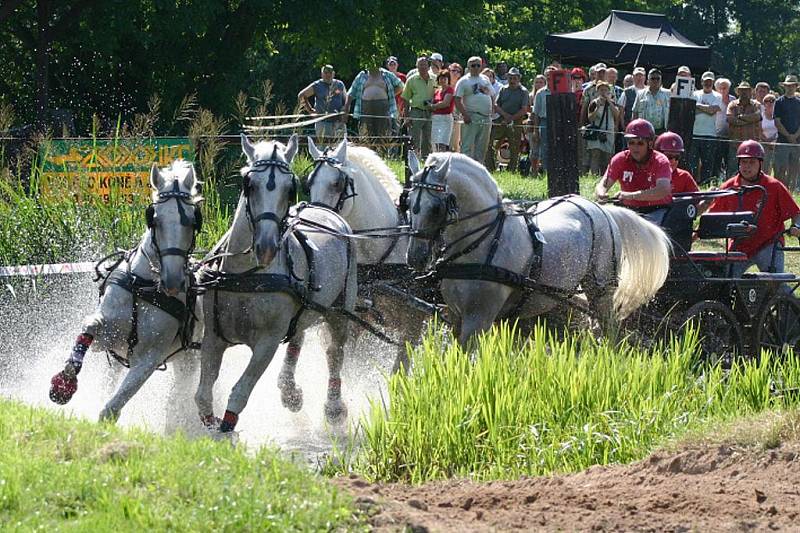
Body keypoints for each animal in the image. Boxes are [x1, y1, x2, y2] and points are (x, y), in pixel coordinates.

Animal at [49, 160, 203, 422]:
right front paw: (65, 382)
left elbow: (113, 407)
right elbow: (90, 325)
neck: (146, 288)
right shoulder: (106, 336)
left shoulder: (150, 358)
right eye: (154, 219)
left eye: (193, 221)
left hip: (187, 360)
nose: (173, 281)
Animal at [194, 134, 356, 432]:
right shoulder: (213, 336)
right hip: (305, 308)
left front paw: (226, 431)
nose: (267, 247)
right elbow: (202, 395)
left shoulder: (266, 344)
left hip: (341, 311)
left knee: (334, 352)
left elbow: (239, 393)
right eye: (249, 184)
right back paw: (290, 390)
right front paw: (211, 427)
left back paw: (334, 408)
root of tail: (323, 209)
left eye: (289, 189)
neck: (247, 276)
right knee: (298, 337)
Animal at [404, 152, 672, 348]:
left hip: (601, 290)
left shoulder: (478, 320)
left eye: (436, 208)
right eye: (407, 202)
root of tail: (601, 209)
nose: (415, 257)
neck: (482, 243)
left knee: (610, 330)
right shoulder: (457, 317)